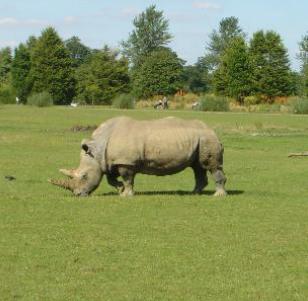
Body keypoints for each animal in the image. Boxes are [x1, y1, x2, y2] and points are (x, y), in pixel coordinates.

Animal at [50, 116, 226, 197]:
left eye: (85, 176)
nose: (78, 195)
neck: (97, 148)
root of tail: (213, 131)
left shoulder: (126, 162)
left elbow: (128, 178)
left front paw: (125, 194)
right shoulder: (110, 162)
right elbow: (110, 179)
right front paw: (120, 189)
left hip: (206, 139)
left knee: (211, 166)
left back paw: (218, 195)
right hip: (200, 140)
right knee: (198, 167)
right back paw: (194, 193)